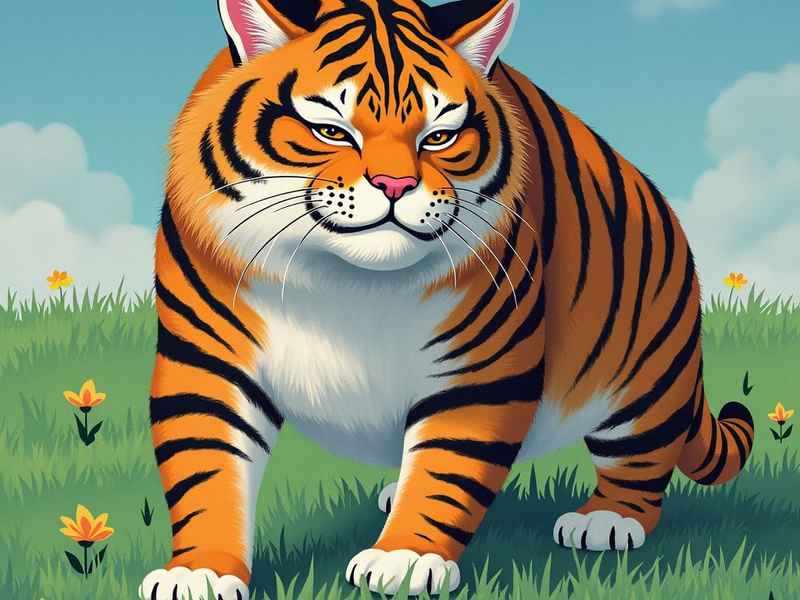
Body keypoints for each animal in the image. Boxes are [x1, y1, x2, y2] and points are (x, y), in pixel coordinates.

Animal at [139, 0, 756, 598]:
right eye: (332, 131)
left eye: (438, 137)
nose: (394, 185)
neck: (347, 281)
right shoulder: (206, 364)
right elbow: (206, 469)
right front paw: (199, 572)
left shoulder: (479, 371)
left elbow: (447, 470)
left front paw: (404, 559)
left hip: (643, 383)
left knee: (641, 462)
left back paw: (606, 520)